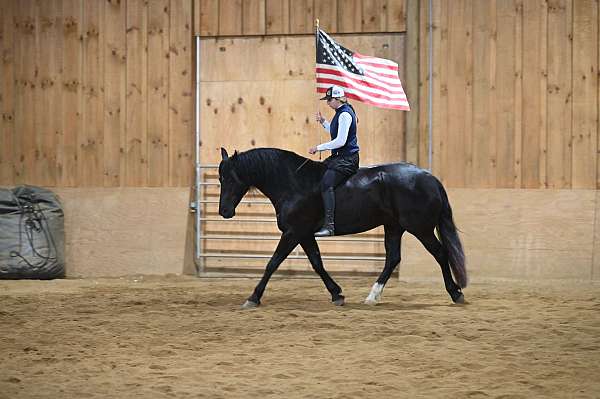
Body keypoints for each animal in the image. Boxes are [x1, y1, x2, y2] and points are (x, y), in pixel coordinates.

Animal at [218, 148, 466, 308]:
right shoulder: (304, 234)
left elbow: (273, 263)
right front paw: (337, 293)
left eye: (229, 178)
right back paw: (372, 296)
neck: (294, 183)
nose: (224, 212)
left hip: (420, 228)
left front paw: (253, 297)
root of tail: (429, 177)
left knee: (440, 253)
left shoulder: (293, 232)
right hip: (393, 227)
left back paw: (455, 293)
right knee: (393, 258)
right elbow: (317, 263)